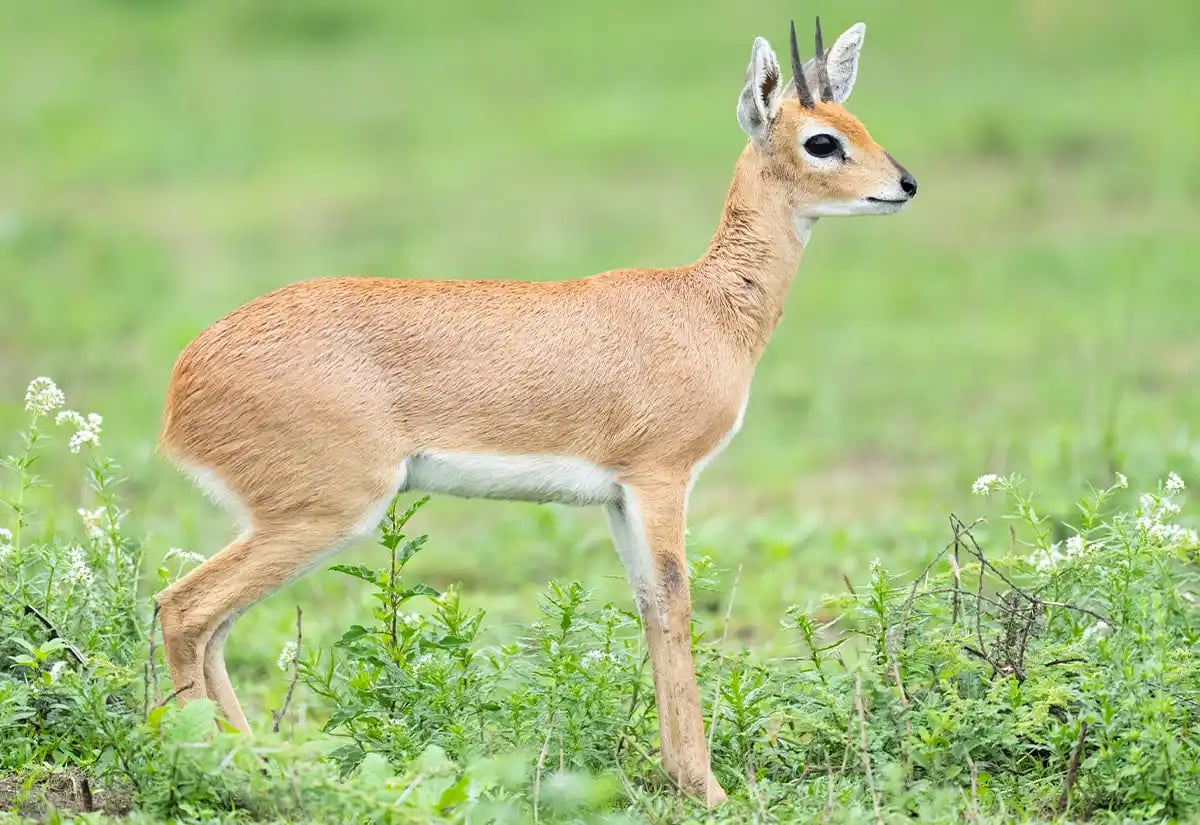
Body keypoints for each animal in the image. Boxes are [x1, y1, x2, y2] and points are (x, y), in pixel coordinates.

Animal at [155, 18, 916, 805]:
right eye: (822, 140)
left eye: (856, 121)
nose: (904, 184)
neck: (705, 305)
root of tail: (187, 376)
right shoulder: (662, 477)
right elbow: (676, 600)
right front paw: (708, 789)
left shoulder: (619, 496)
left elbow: (649, 603)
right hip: (328, 512)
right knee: (183, 609)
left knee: (210, 625)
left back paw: (256, 767)